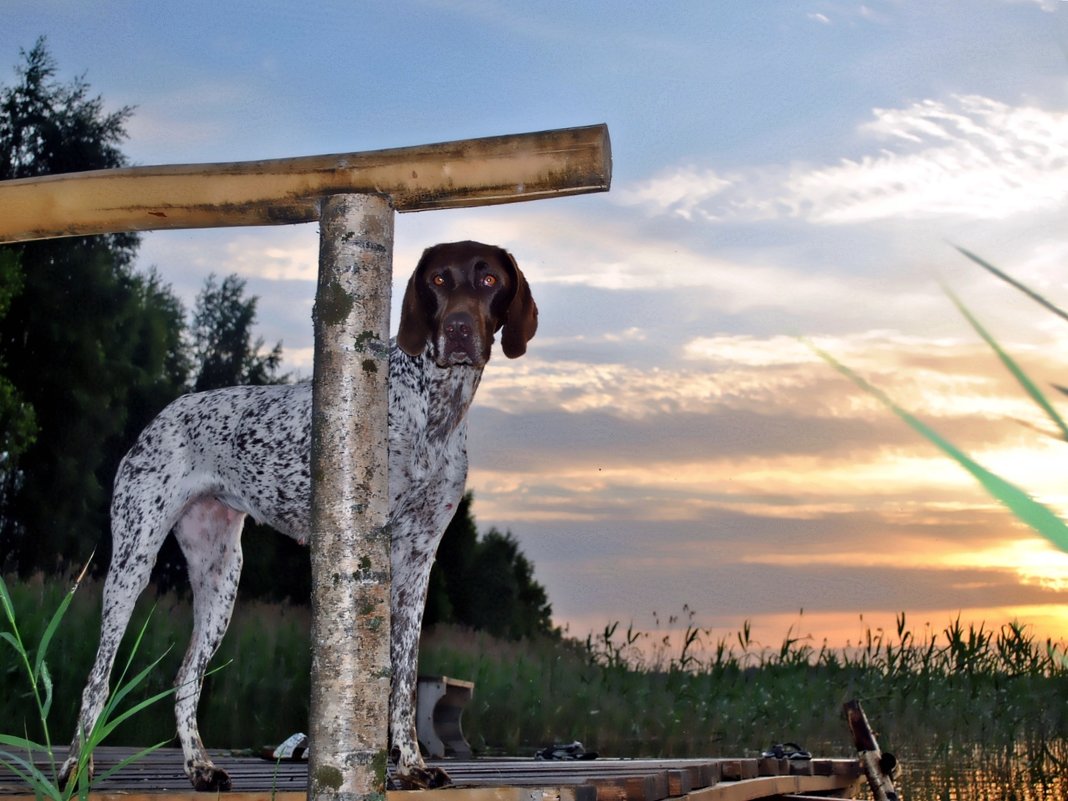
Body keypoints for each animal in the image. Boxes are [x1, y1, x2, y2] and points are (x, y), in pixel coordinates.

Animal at [60, 241, 534, 794]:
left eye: (488, 280)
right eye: (438, 279)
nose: (458, 329)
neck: (434, 414)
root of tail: (163, 416)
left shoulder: (418, 560)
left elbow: (403, 677)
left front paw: (411, 764)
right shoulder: (373, 547)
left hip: (221, 578)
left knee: (186, 676)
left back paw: (199, 766)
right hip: (132, 562)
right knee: (97, 677)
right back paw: (75, 767)